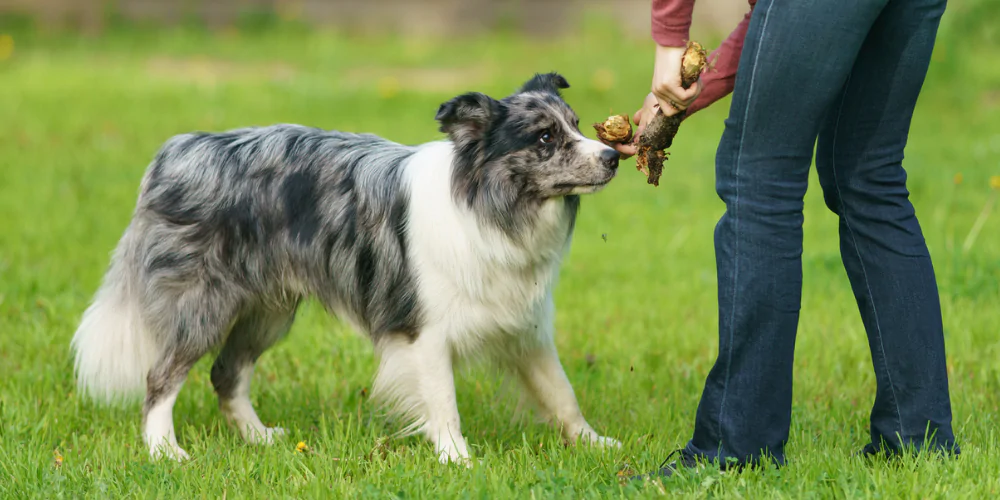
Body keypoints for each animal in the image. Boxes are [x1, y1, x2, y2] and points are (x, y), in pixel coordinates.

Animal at [70, 73, 620, 464]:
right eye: (545, 138)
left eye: (576, 125)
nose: (614, 156)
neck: (489, 205)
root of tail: (176, 151)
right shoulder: (423, 331)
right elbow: (443, 401)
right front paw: (458, 460)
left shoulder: (524, 326)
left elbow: (561, 392)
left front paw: (595, 444)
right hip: (201, 305)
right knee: (161, 377)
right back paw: (165, 450)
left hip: (268, 311)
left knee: (227, 374)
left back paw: (258, 438)